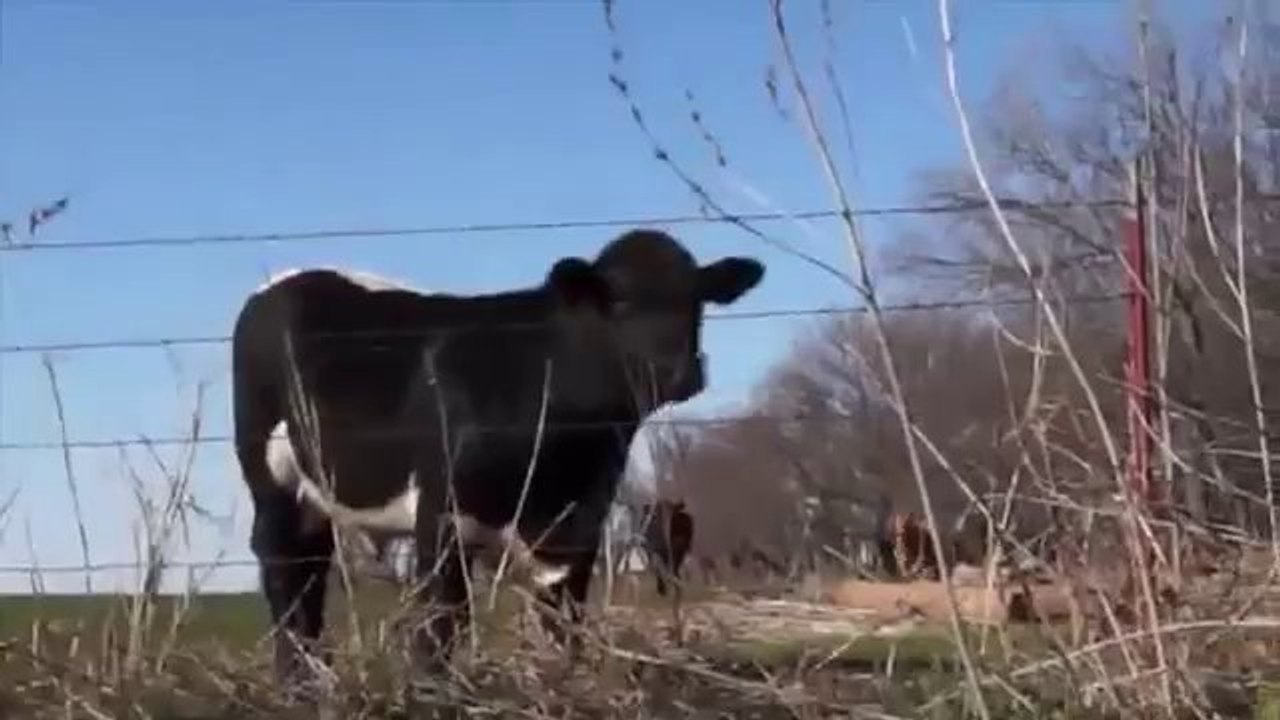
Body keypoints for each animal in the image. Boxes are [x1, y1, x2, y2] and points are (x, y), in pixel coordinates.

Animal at [230, 228, 764, 688]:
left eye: (696, 300)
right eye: (621, 301)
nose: (681, 371)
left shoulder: (578, 523)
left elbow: (563, 620)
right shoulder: (441, 513)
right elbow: (443, 620)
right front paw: (434, 690)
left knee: (310, 566)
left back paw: (312, 671)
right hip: (270, 477)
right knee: (281, 565)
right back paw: (294, 678)